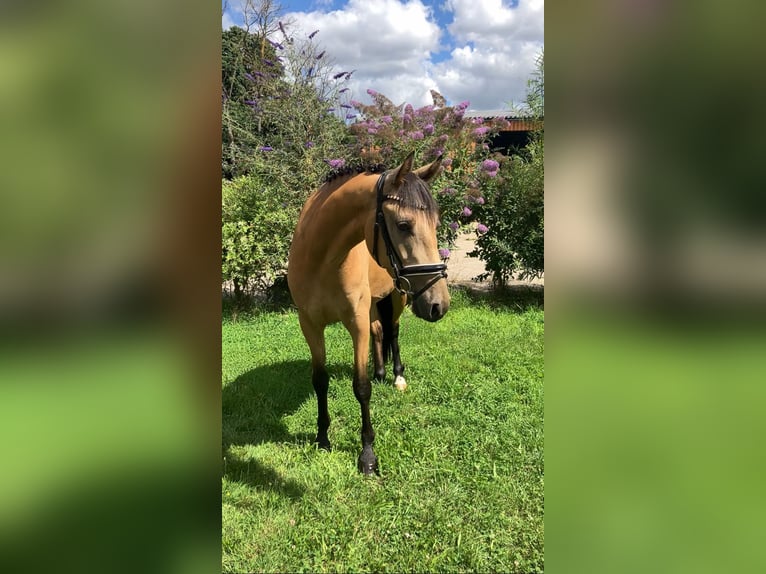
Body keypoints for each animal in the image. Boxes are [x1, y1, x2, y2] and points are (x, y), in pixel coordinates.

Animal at [287, 152, 450, 475]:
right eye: (403, 224)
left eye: (436, 224)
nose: (440, 304)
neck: (322, 259)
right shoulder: (310, 325)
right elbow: (320, 380)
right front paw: (322, 438)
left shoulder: (357, 323)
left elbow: (361, 388)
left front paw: (367, 456)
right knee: (380, 332)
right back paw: (380, 372)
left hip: (398, 297)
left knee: (394, 332)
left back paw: (397, 377)